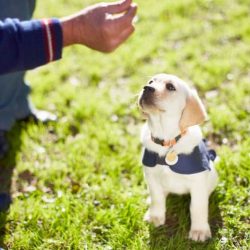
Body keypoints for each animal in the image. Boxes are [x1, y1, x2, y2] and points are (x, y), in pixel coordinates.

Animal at [138, 73, 218, 241]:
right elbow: (157, 198)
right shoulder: (151, 175)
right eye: (151, 81)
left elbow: (197, 207)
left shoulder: (197, 183)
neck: (167, 140)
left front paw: (199, 231)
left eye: (170, 87)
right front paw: (155, 216)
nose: (146, 88)